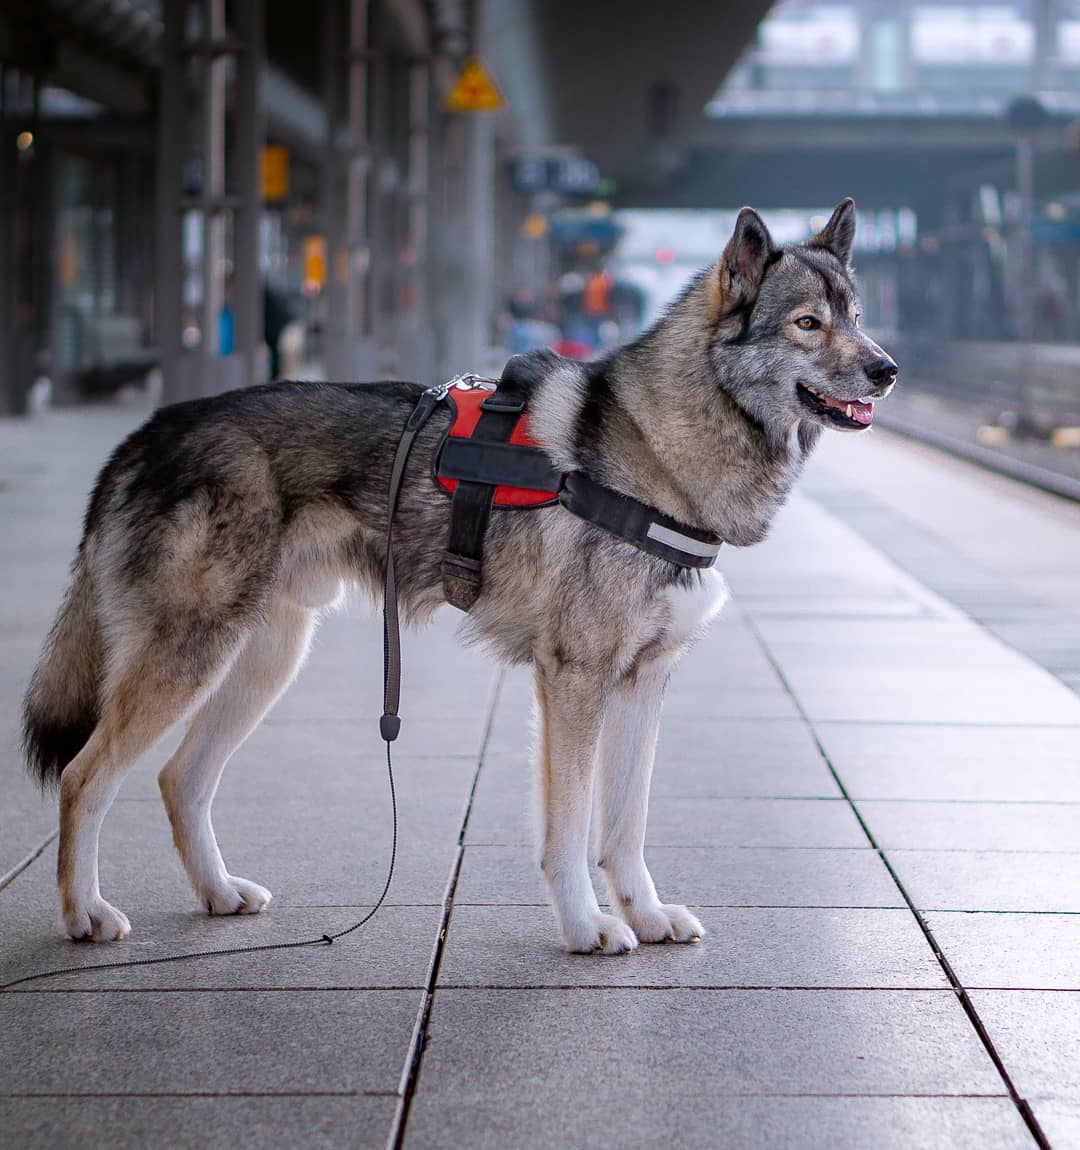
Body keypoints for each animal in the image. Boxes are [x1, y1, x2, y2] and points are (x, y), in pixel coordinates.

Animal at [21, 197, 901, 952]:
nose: (889, 370)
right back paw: (84, 913)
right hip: (191, 658)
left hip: (263, 661)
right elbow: (571, 830)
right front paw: (588, 928)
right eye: (808, 324)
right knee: (84, 777)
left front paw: (646, 917)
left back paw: (218, 893)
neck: (656, 448)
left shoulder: (643, 683)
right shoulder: (575, 680)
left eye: (857, 317)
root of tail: (146, 432)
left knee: (180, 779)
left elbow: (626, 828)